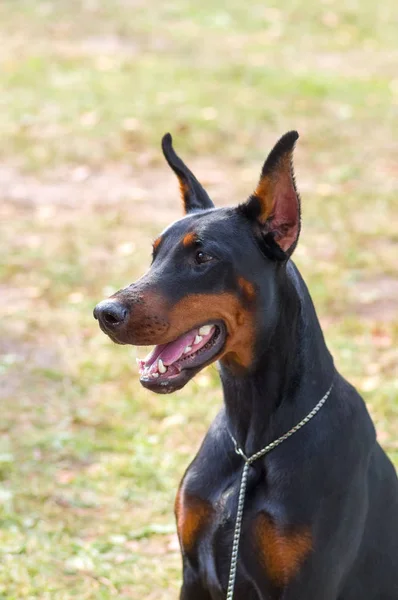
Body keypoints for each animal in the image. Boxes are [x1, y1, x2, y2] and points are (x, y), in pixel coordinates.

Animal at [94, 132, 398, 600]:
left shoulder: (306, 586)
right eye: (154, 255)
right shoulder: (193, 573)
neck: (253, 443)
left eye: (202, 256)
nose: (104, 313)